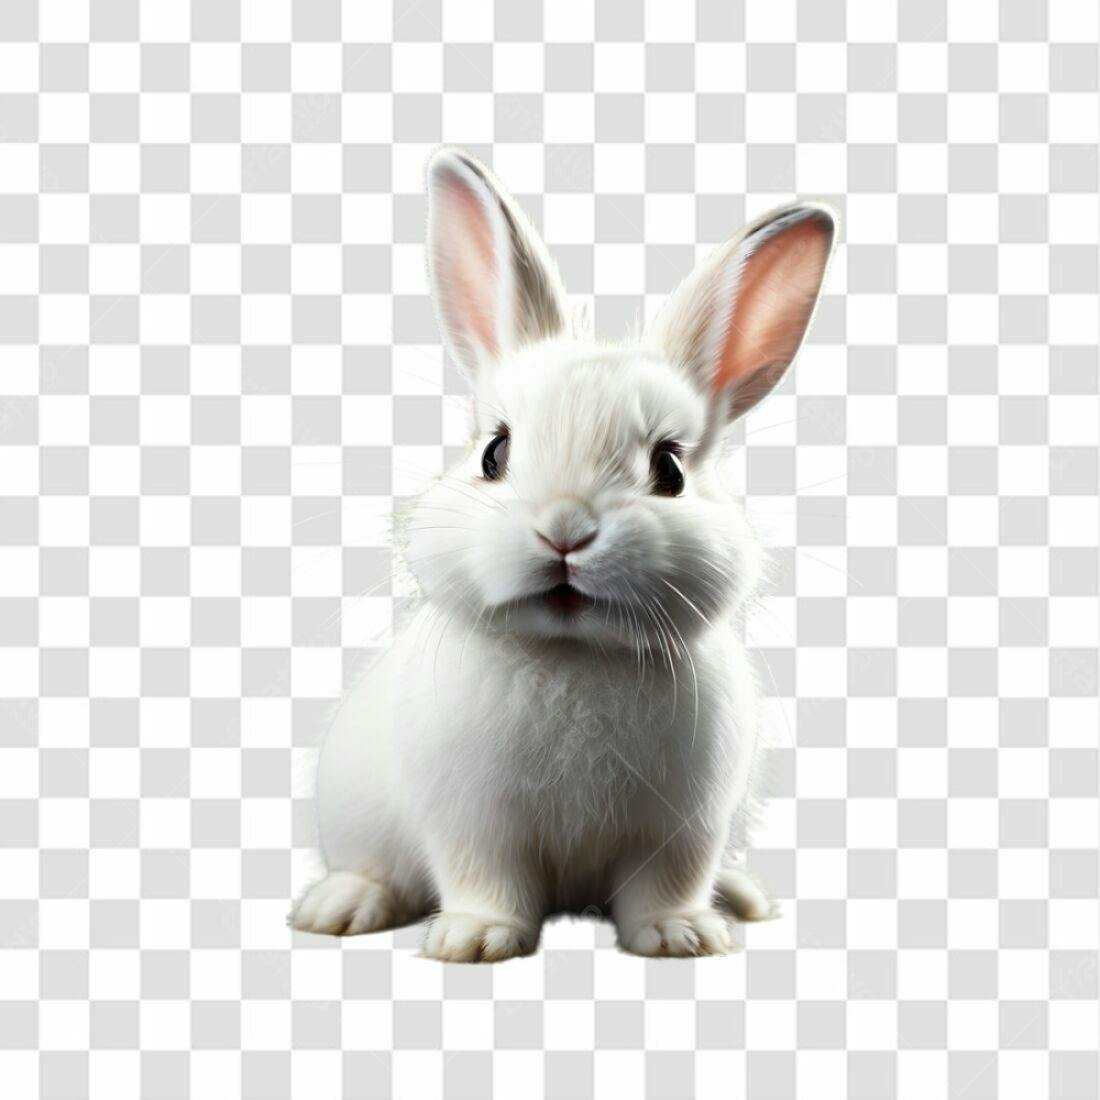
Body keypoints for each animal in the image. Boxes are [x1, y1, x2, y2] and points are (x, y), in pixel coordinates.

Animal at [290, 147, 836, 961]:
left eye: (669, 470)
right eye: (494, 452)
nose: (566, 529)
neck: (575, 652)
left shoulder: (683, 829)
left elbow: (667, 884)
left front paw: (680, 936)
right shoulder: (474, 822)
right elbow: (485, 878)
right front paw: (476, 941)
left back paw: (740, 898)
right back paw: (341, 905)